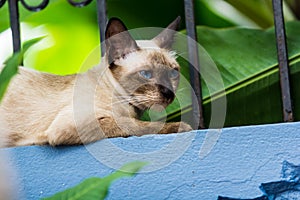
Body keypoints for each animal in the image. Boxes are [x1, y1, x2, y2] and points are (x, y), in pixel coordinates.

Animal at [0, 16, 192, 147]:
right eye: (146, 74)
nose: (169, 93)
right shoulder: (76, 123)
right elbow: (138, 125)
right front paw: (181, 126)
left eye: (173, 73)